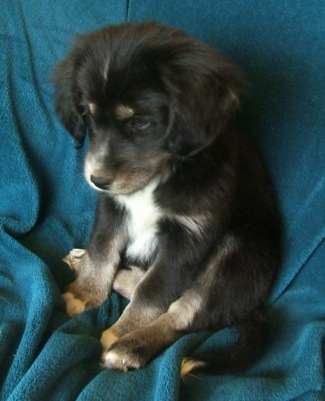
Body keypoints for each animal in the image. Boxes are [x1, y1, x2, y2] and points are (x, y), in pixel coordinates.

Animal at [53, 21, 280, 378]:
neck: (161, 175)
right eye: (88, 116)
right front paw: (85, 292)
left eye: (140, 122)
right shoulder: (113, 208)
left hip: (237, 252)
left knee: (183, 314)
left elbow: (156, 291)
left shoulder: (188, 237)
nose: (97, 180)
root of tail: (254, 304)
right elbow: (103, 250)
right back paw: (91, 264)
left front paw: (121, 332)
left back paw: (131, 347)